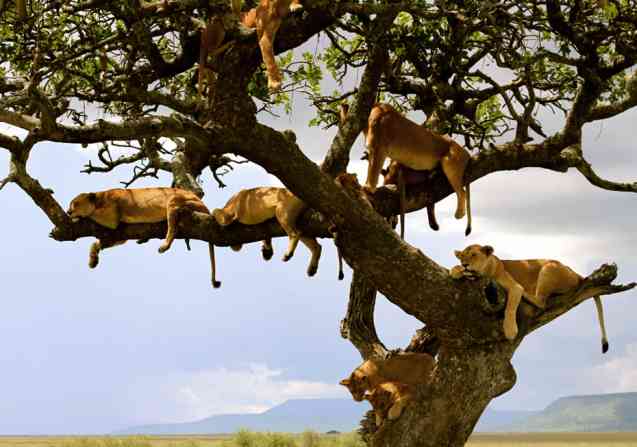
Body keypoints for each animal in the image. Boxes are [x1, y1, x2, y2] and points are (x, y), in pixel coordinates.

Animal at [67, 187, 221, 288]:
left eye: (75, 203)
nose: (68, 212)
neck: (100, 198)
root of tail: (205, 205)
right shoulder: (119, 235)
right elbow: (96, 243)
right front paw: (93, 261)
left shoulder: (112, 218)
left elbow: (92, 215)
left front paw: (76, 218)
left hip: (173, 200)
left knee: (173, 228)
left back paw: (164, 245)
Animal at [452, 243, 608, 352]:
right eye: (462, 257)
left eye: (473, 255)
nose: (464, 264)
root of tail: (576, 273)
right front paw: (455, 271)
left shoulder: (514, 287)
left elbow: (510, 308)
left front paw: (510, 331)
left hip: (548, 267)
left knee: (541, 302)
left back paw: (527, 294)